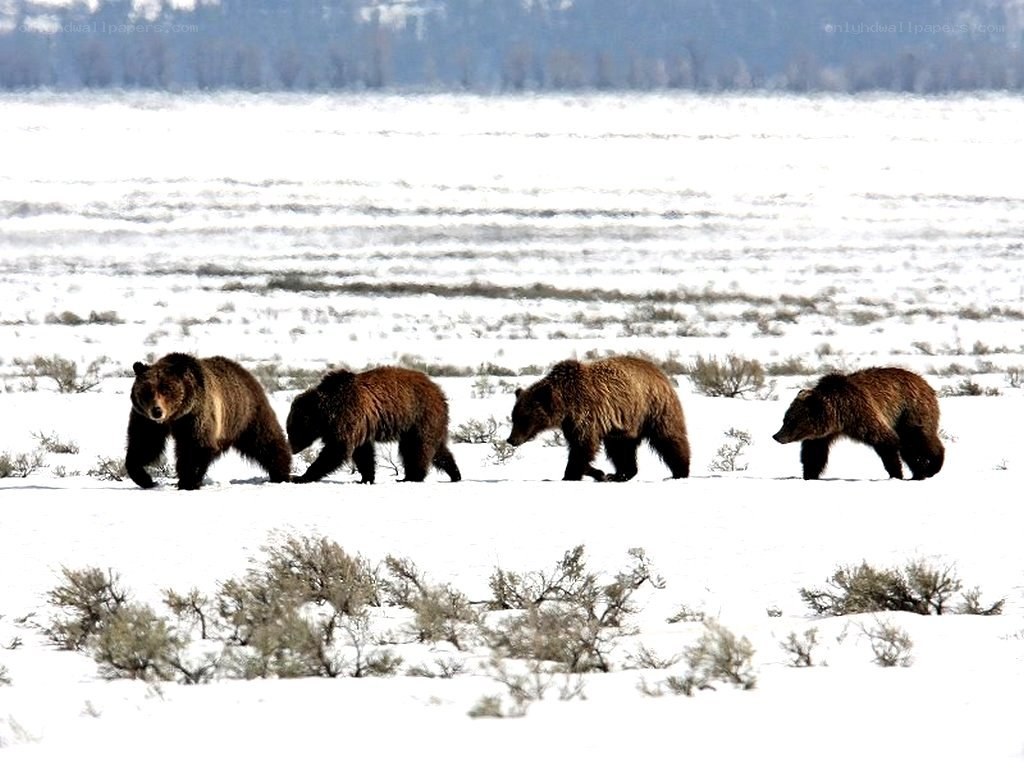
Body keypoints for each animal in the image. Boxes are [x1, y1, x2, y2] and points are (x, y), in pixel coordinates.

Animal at [125, 353, 292, 490]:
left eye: (167, 390)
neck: (174, 416)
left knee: (266, 440)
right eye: (147, 391)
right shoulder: (146, 419)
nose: (157, 411)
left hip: (247, 414)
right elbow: (144, 444)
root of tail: (244, 372)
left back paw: (281, 473)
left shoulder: (196, 415)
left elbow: (195, 446)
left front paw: (188, 481)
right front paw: (145, 478)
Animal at [286, 366, 461, 484]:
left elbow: (336, 449)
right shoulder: (359, 426)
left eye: (292, 430)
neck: (325, 412)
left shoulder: (347, 416)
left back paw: (412, 477)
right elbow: (363, 453)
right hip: (422, 422)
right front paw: (366, 478)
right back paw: (455, 474)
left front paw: (300, 477)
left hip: (419, 414)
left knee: (416, 448)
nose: (291, 448)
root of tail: (439, 391)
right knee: (437, 449)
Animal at [506, 356, 690, 481]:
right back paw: (621, 474)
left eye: (524, 418)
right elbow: (581, 448)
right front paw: (598, 473)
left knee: (668, 438)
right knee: (621, 450)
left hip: (653, 409)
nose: (511, 439)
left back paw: (680, 471)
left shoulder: (586, 415)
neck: (566, 404)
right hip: (624, 425)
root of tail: (658, 371)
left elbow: (582, 447)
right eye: (513, 417)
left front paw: (571, 475)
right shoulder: (571, 423)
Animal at [772, 366, 944, 480]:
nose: (776, 436)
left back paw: (931, 467)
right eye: (785, 419)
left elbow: (886, 442)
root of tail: (924, 382)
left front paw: (897, 473)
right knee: (911, 444)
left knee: (919, 439)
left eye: (790, 421)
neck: (839, 416)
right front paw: (809, 474)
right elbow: (814, 453)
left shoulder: (863, 413)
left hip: (910, 410)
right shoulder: (825, 433)